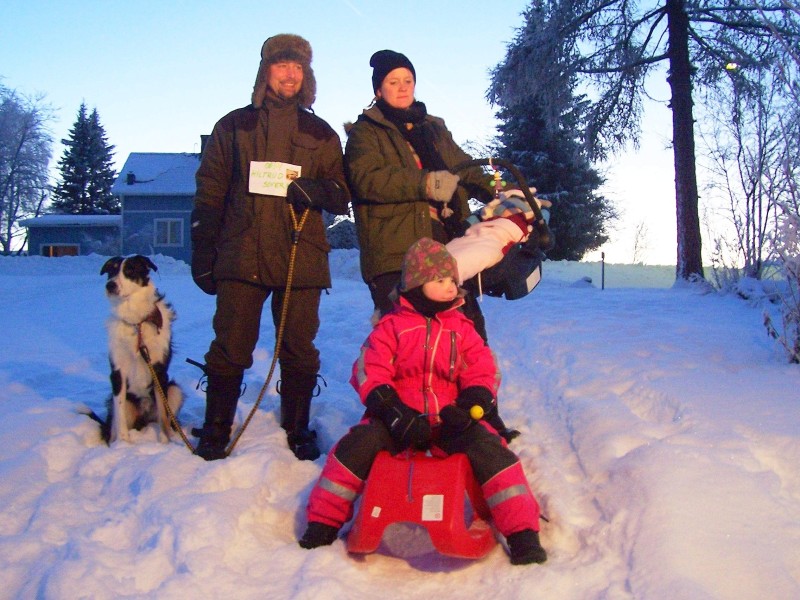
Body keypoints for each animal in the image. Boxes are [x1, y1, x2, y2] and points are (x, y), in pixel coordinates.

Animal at [90, 255, 184, 442]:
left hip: (174, 390)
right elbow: (119, 417)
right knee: (113, 423)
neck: (136, 322)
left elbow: (164, 414)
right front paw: (123, 444)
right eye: (111, 271)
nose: (110, 285)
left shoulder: (159, 370)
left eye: (130, 271)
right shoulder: (118, 371)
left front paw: (164, 441)